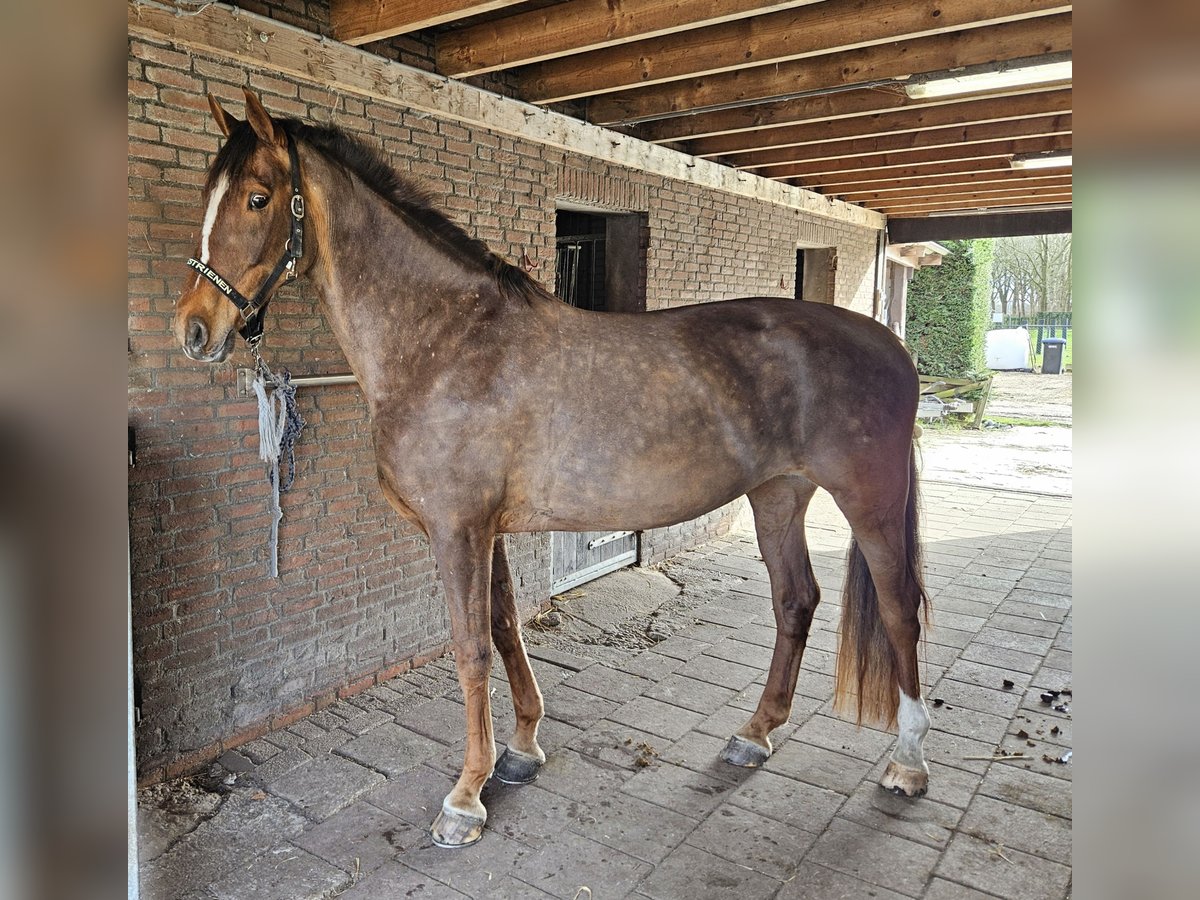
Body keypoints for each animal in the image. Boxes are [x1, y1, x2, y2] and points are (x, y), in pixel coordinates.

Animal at [174, 88, 931, 849]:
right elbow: (507, 627)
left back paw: (908, 764)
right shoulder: (488, 530)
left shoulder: (458, 529)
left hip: (867, 499)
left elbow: (470, 646)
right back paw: (754, 734)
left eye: (258, 197)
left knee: (900, 610)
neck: (446, 343)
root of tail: (892, 346)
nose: (194, 330)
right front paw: (521, 749)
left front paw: (465, 799)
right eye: (207, 193)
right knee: (794, 600)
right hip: (777, 494)